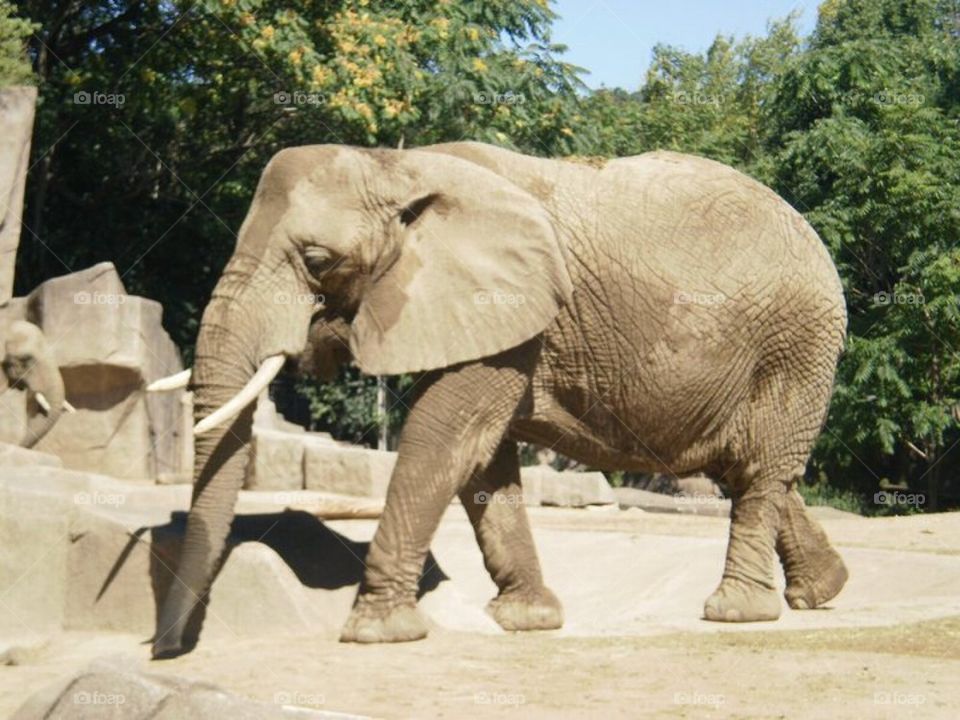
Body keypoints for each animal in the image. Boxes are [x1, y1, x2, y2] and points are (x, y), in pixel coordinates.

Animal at [151, 141, 849, 658]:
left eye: (319, 261)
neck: (399, 166)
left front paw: (377, 633)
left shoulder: (505, 304)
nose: (164, 649)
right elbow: (482, 461)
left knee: (758, 471)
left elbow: (444, 436)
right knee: (744, 468)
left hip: (795, 344)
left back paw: (738, 612)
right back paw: (821, 592)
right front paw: (527, 620)